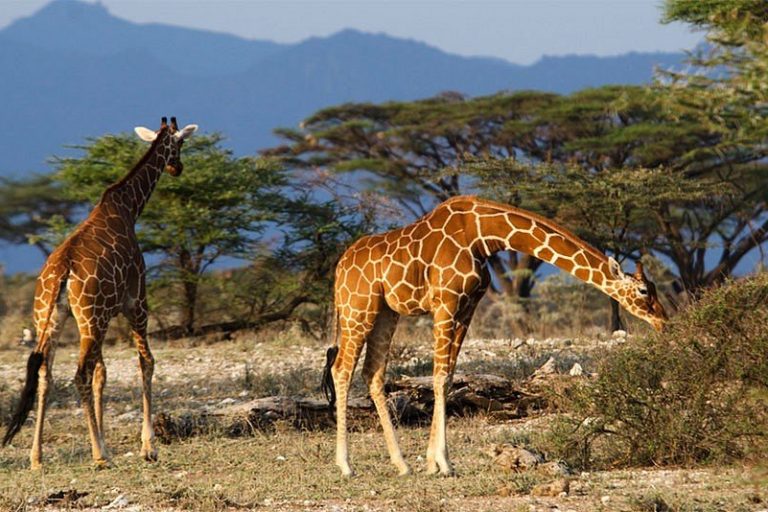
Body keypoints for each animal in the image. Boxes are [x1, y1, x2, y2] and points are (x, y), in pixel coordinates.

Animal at [2, 117, 198, 469]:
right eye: (180, 143)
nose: (177, 168)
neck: (129, 208)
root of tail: (62, 274)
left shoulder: (106, 316)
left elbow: (102, 374)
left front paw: (108, 438)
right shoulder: (137, 301)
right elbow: (146, 361)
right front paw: (148, 446)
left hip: (55, 319)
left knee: (46, 373)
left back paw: (37, 457)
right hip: (91, 319)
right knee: (79, 374)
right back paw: (100, 455)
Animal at [322, 195, 666, 477]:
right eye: (643, 290)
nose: (663, 320)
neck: (483, 235)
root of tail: (339, 269)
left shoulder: (468, 305)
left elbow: (448, 377)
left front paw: (433, 462)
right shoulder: (445, 303)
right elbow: (438, 377)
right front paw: (443, 462)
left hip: (384, 312)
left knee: (372, 373)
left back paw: (402, 464)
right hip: (357, 309)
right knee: (342, 370)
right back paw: (346, 465)